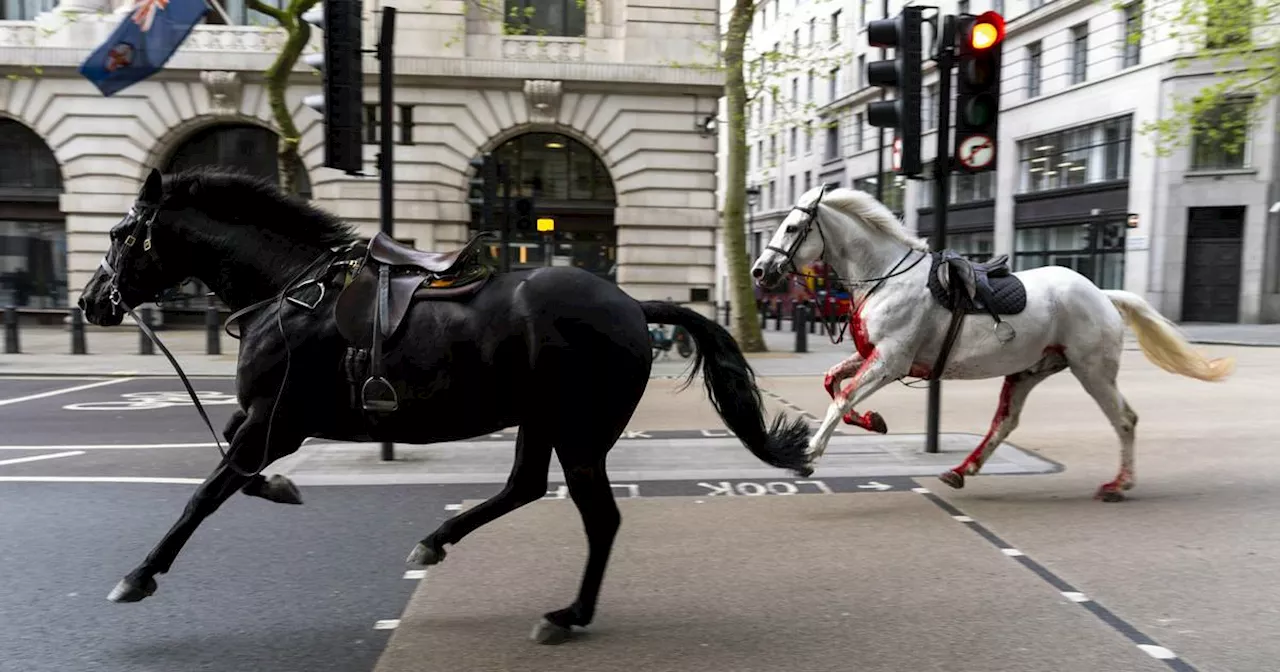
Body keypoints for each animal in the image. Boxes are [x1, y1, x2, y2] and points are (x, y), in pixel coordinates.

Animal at [77, 167, 808, 645]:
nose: (88, 303)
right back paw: (438, 542)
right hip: (542, 421)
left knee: (598, 517)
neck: (290, 292)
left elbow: (207, 492)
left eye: (119, 233)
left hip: (579, 431)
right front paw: (282, 488)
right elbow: (233, 467)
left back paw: (568, 615)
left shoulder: (276, 421)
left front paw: (139, 575)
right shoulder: (263, 419)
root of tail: (632, 303)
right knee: (523, 487)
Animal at [747, 185, 1233, 499]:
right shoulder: (874, 356)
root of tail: (1102, 293)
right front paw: (873, 421)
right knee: (1005, 423)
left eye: (792, 227)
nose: (759, 271)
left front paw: (808, 454)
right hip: (1029, 371)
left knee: (1125, 420)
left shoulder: (890, 360)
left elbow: (842, 397)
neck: (885, 276)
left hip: (1092, 370)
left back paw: (1119, 484)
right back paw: (963, 470)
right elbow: (833, 383)